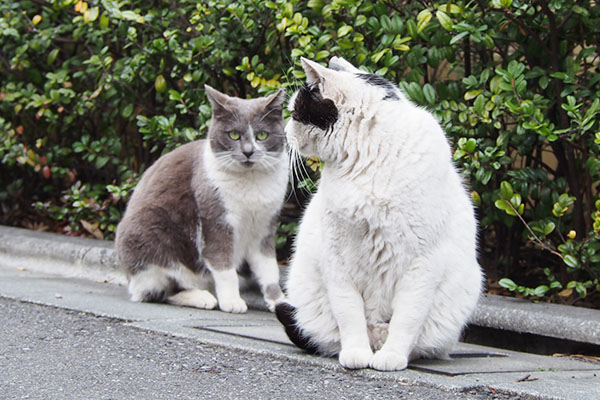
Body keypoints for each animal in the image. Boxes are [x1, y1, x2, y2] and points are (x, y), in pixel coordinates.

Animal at [116, 86, 290, 314]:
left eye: (262, 135)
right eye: (234, 134)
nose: (248, 152)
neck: (252, 184)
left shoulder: (265, 228)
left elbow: (269, 270)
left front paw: (279, 302)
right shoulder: (216, 222)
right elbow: (224, 268)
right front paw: (232, 302)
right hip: (148, 235)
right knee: (160, 291)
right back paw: (202, 298)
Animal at [276, 58, 482, 372]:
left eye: (295, 113)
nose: (284, 133)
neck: (368, 157)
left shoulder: (422, 265)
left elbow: (407, 318)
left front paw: (392, 357)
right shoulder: (336, 260)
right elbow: (349, 314)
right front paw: (355, 355)